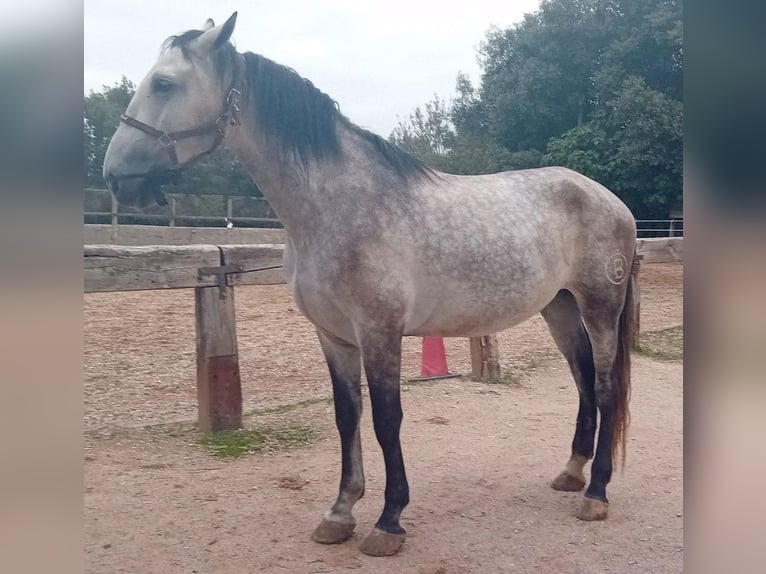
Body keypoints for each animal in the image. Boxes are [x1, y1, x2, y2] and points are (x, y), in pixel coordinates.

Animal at [105, 13, 640, 560]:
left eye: (164, 83)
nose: (115, 176)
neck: (339, 206)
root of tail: (609, 200)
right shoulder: (334, 335)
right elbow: (348, 415)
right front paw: (340, 513)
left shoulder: (380, 332)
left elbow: (387, 419)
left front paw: (389, 521)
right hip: (559, 308)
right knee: (582, 380)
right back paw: (572, 473)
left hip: (600, 307)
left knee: (605, 386)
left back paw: (596, 493)